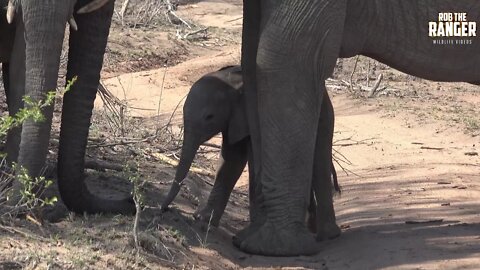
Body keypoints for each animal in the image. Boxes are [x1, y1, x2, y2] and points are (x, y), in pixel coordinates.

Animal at [159, 65, 340, 238]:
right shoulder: (233, 119)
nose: (163, 209)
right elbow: (231, 160)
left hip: (323, 115)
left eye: (209, 117)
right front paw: (204, 219)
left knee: (318, 162)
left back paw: (324, 234)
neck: (231, 81)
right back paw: (310, 228)